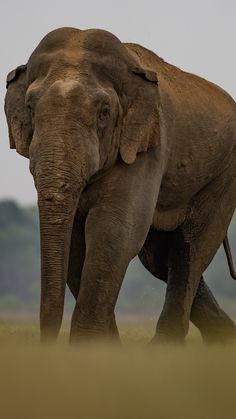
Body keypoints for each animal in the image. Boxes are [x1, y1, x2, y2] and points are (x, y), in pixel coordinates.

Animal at [4, 27, 236, 346]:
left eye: (104, 111)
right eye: (29, 108)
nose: (46, 346)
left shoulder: (146, 146)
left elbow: (112, 229)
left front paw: (88, 348)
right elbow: (77, 240)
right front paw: (104, 348)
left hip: (223, 176)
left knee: (190, 248)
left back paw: (164, 348)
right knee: (160, 258)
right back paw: (223, 340)